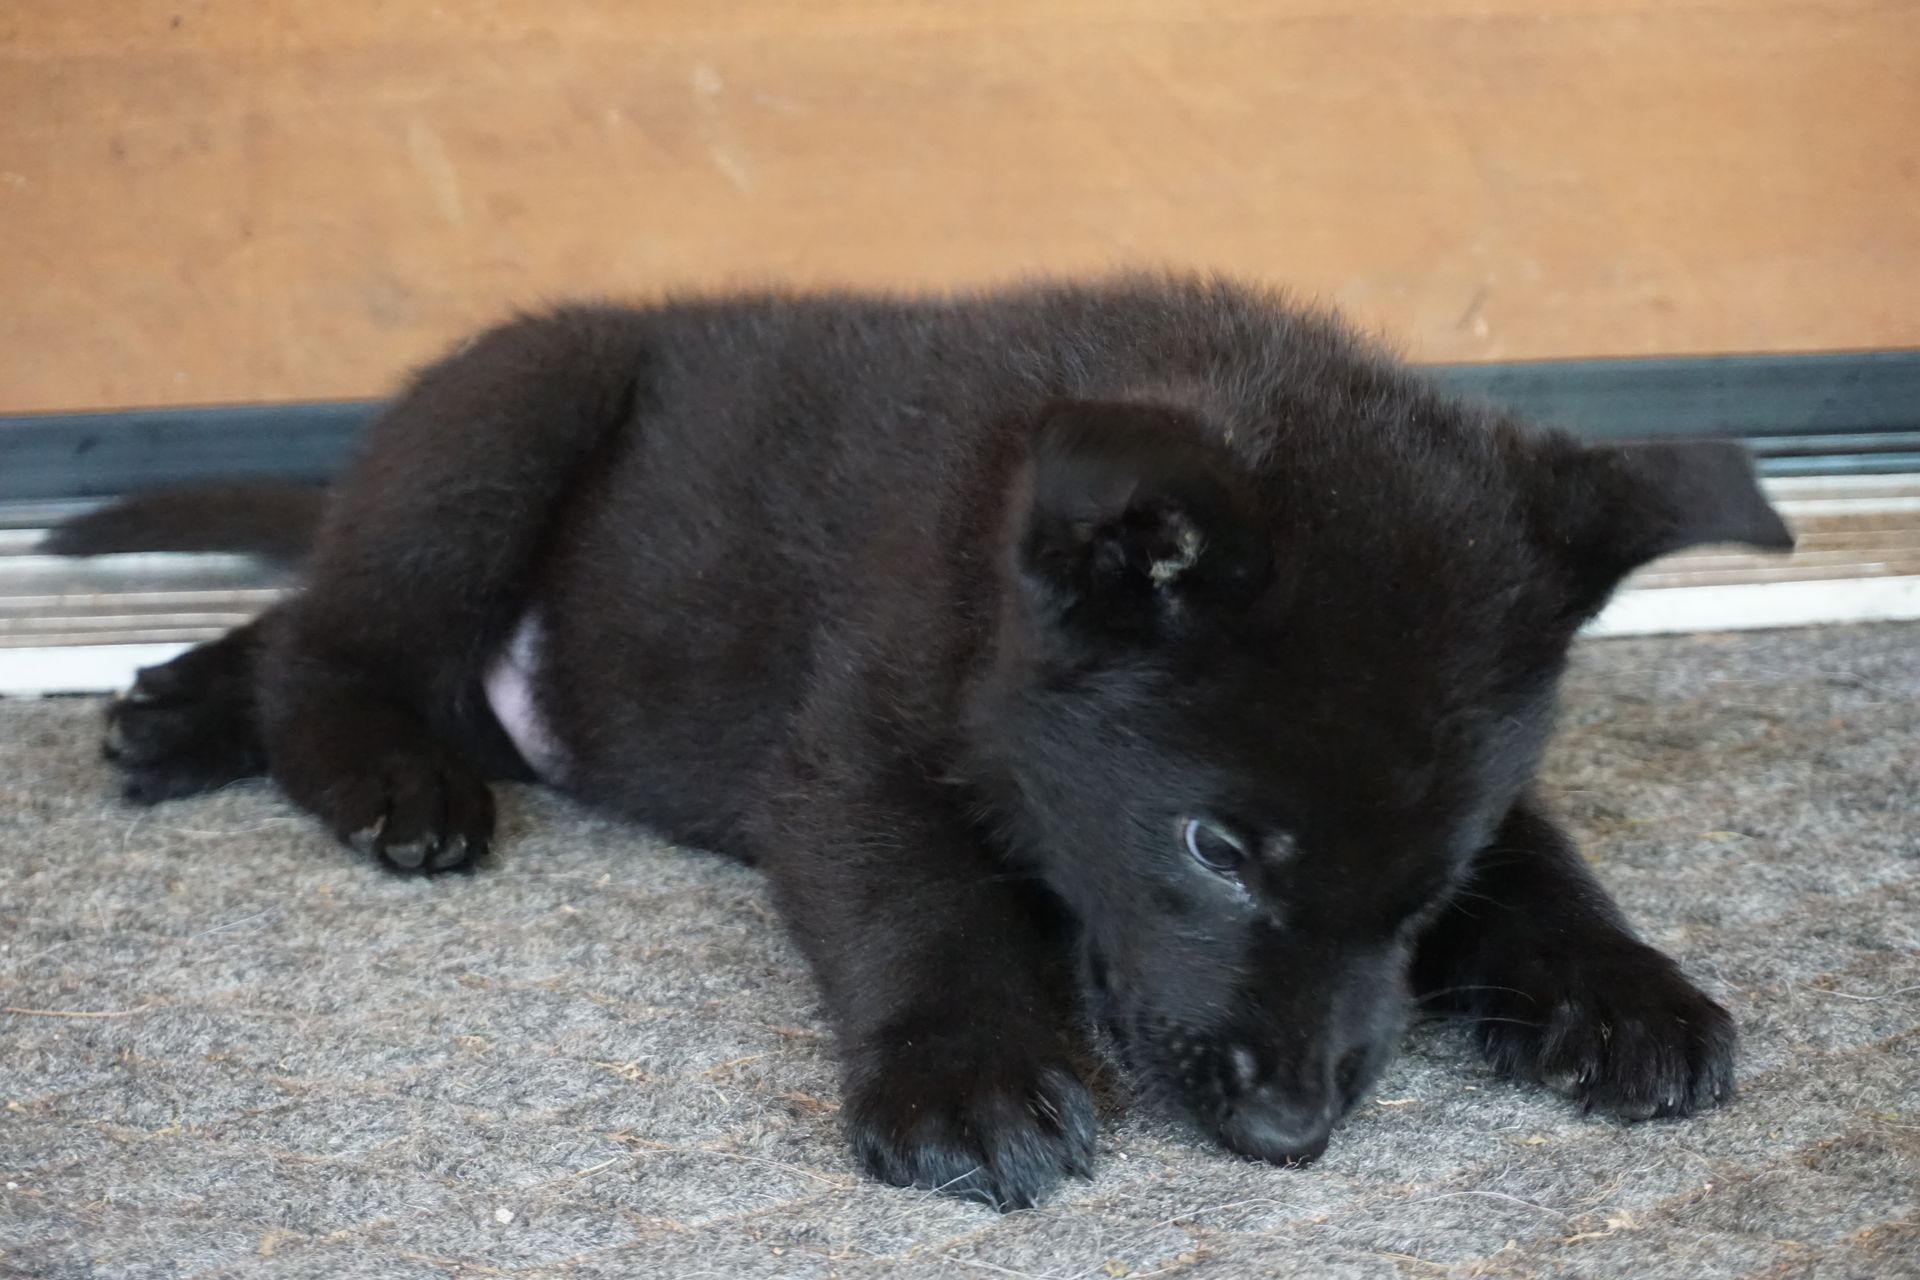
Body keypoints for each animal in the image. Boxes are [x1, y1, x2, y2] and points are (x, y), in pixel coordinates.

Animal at [63, 272, 1797, 1212]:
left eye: (1428, 892)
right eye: (1216, 848)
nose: (1291, 1134)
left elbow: (1547, 860)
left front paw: (1620, 990)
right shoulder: (851, 760)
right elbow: (923, 903)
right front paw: (969, 1079)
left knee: (304, 620)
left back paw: (176, 714)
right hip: (515, 417)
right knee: (336, 643)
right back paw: (382, 779)